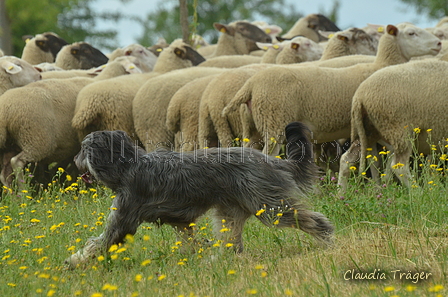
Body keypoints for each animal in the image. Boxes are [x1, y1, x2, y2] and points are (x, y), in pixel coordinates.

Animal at [65, 121, 332, 268]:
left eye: (83, 149)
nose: (75, 159)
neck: (128, 165)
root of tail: (273, 161)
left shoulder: (124, 219)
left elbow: (97, 243)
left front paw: (73, 262)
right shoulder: (179, 221)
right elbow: (189, 239)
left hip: (269, 205)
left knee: (313, 220)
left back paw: (327, 241)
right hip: (229, 213)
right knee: (233, 244)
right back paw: (216, 260)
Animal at [223, 22, 440, 155]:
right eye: (411, 33)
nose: (439, 44)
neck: (380, 65)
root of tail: (251, 85)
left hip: (252, 129)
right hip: (274, 124)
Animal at [338, 58, 448, 190]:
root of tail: (359, 96)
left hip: (368, 131)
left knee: (346, 160)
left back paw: (340, 192)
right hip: (400, 130)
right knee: (399, 166)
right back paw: (418, 191)